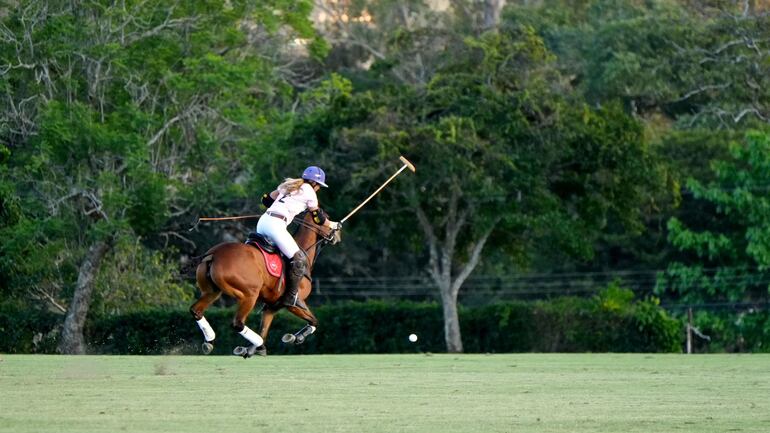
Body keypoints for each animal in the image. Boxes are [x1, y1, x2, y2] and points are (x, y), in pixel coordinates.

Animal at [189, 211, 332, 356]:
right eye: (328, 219)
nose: (336, 234)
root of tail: (214, 254)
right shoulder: (294, 304)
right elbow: (314, 321)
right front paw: (296, 337)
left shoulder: (271, 307)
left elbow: (264, 329)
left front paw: (252, 349)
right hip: (249, 295)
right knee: (238, 323)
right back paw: (258, 345)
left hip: (212, 291)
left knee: (196, 310)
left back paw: (210, 341)